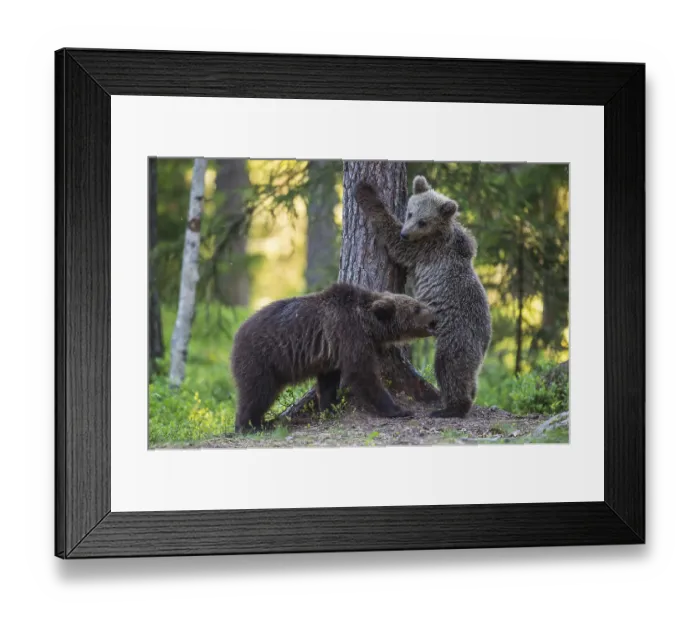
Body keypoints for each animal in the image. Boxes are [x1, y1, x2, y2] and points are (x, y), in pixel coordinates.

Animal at [231, 282, 438, 433]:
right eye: (416, 308)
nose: (434, 316)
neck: (368, 324)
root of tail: (236, 334)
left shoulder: (331, 352)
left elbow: (328, 382)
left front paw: (329, 408)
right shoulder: (349, 333)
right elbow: (363, 373)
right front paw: (399, 409)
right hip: (261, 359)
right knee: (256, 393)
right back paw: (249, 425)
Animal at [355, 175, 492, 419]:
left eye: (423, 221)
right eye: (410, 213)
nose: (406, 233)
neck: (439, 234)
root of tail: (486, 339)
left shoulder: (424, 250)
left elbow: (393, 239)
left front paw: (366, 191)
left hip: (457, 335)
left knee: (450, 367)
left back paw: (451, 408)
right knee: (468, 375)